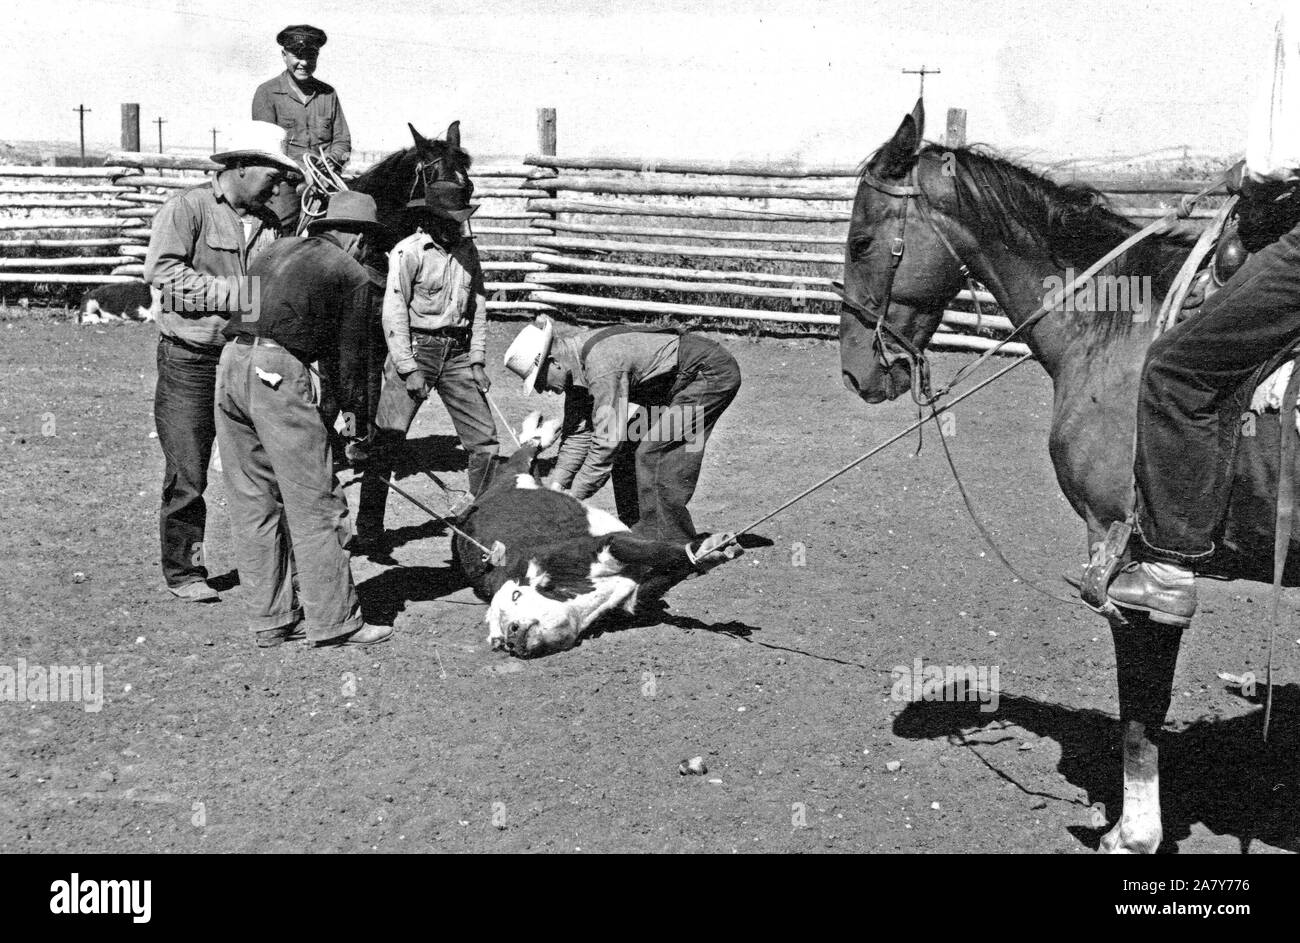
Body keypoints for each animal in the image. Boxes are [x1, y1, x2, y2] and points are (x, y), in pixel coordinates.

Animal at [454, 411, 743, 655]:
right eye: (500, 638)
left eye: (517, 595)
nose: (512, 635)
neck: (582, 603)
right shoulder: (633, 597)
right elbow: (665, 572)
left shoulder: (596, 548)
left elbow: (659, 552)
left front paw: (708, 549)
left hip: (516, 470)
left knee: (528, 449)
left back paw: (545, 428)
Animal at [842, 104, 1258, 853]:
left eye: (862, 241)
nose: (855, 369)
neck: (1121, 328)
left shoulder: (1128, 552)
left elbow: (1141, 701)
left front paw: (1134, 831)